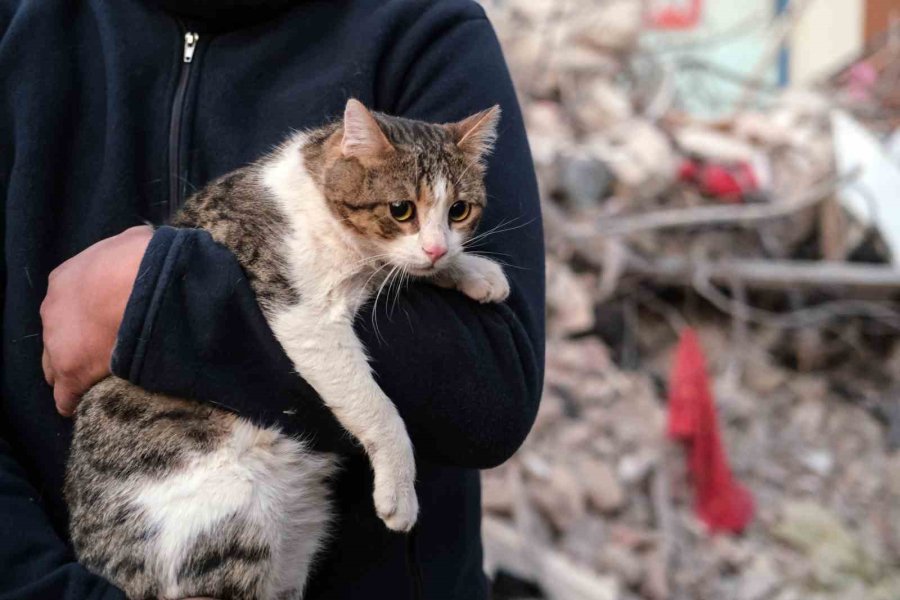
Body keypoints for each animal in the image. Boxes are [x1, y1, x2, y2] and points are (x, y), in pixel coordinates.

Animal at [65, 99, 506, 600]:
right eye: (401, 210)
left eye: (459, 210)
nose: (436, 248)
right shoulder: (303, 316)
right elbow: (375, 406)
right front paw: (399, 489)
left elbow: (410, 268)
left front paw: (474, 270)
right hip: (226, 521)